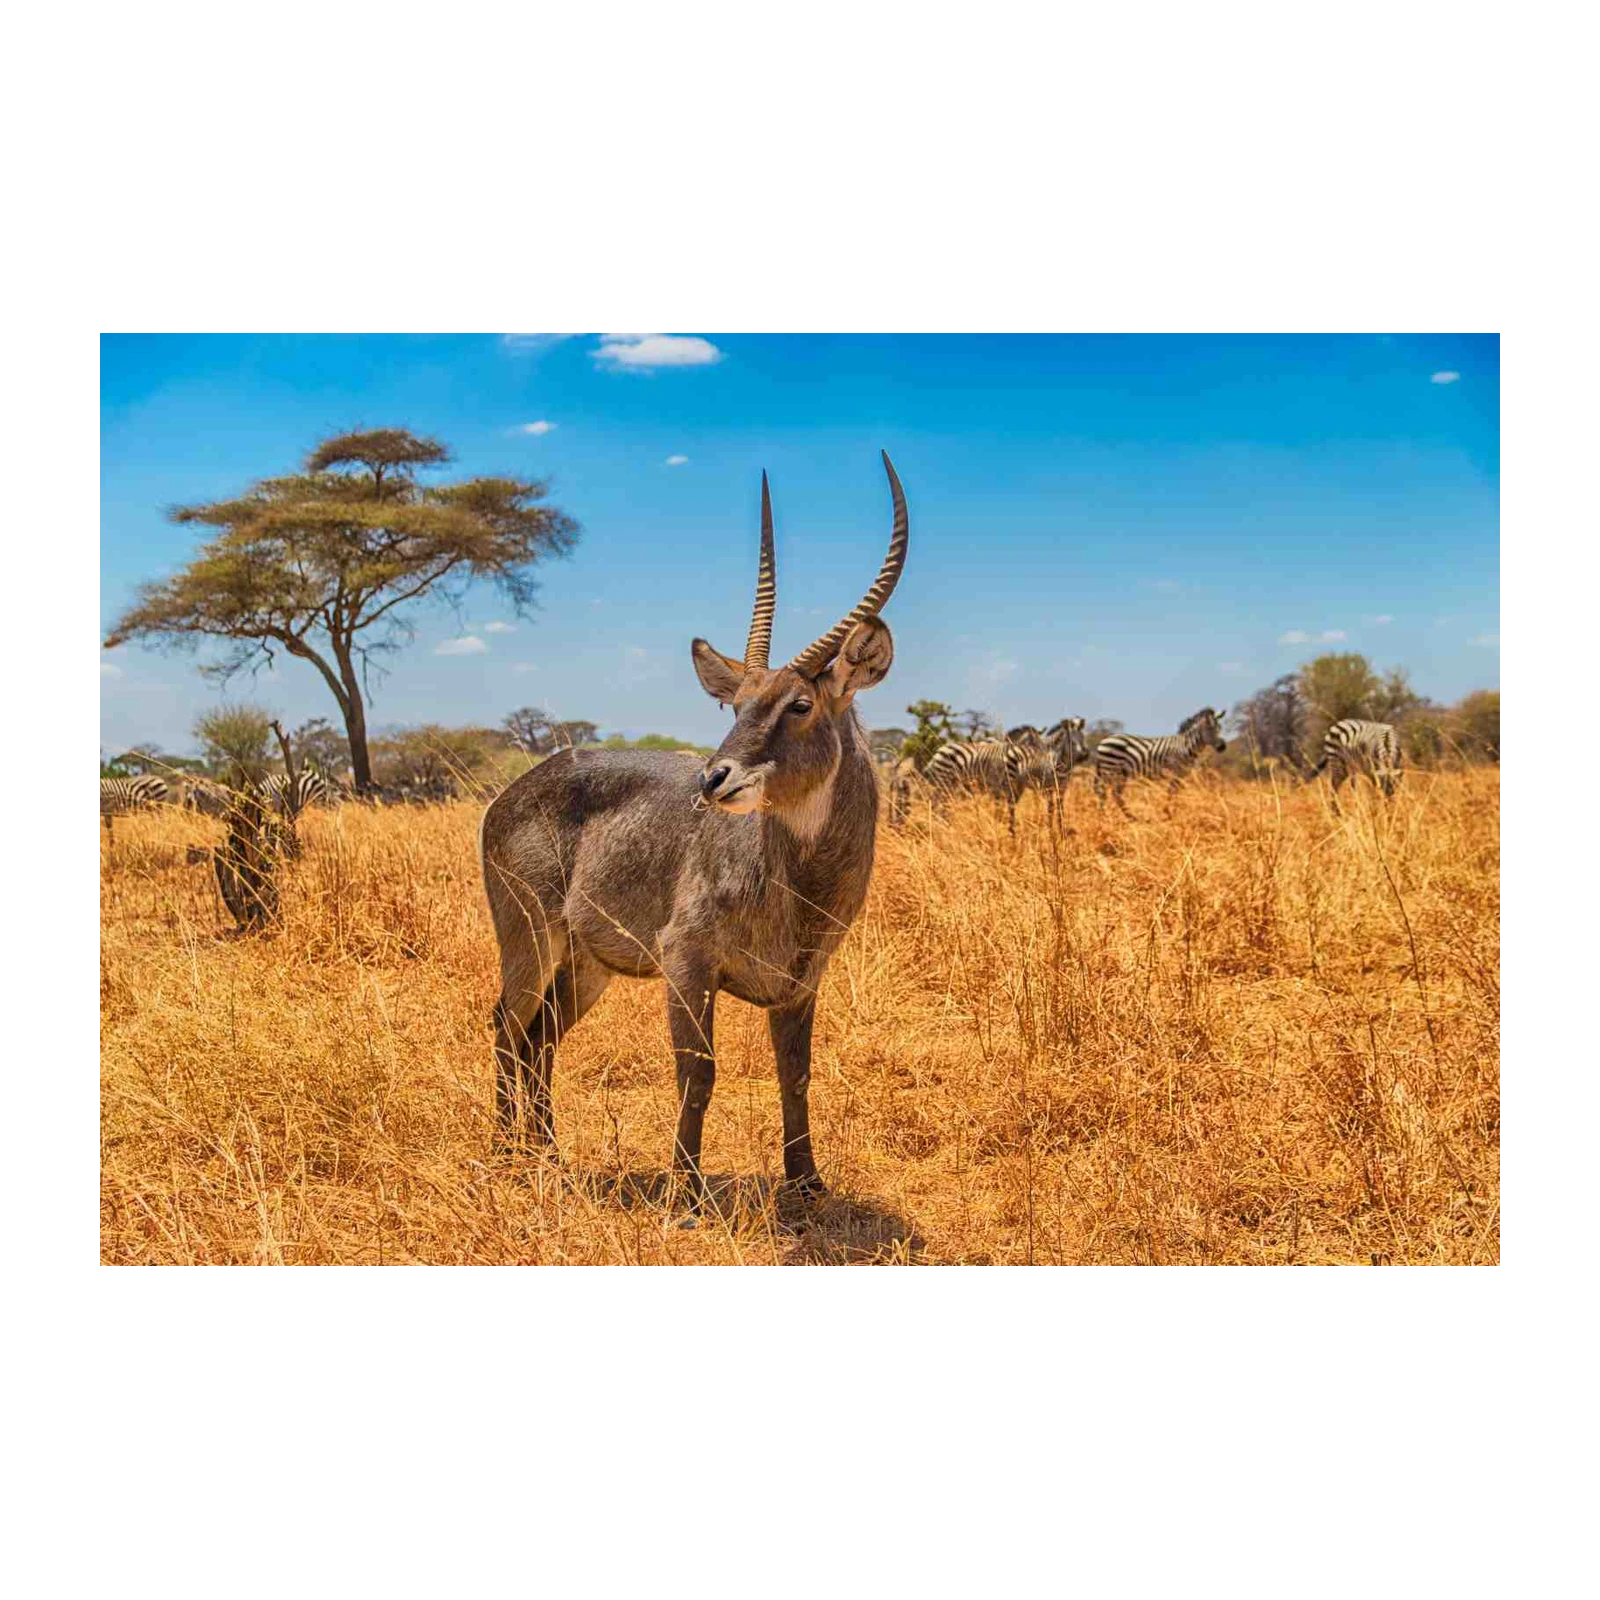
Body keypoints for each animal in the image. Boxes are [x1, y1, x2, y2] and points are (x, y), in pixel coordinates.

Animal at [1093, 707, 1227, 818]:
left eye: (1220, 729)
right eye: (1210, 729)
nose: (1223, 747)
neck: (1186, 746)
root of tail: (1103, 740)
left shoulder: (1182, 774)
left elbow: (1176, 792)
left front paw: (1173, 811)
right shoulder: (1175, 771)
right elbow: (1171, 792)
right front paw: (1168, 813)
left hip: (1119, 773)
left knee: (1112, 794)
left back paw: (1121, 816)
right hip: (1111, 770)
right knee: (1107, 793)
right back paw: (1114, 816)